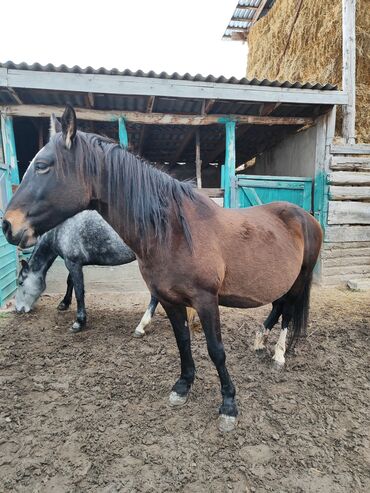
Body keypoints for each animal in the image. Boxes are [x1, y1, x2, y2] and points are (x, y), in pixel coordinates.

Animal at [15, 209, 158, 332]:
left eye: (21, 282)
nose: (18, 309)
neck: (59, 230)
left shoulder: (73, 263)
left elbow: (79, 291)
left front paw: (79, 322)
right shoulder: (73, 262)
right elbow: (70, 282)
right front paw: (64, 303)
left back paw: (142, 325)